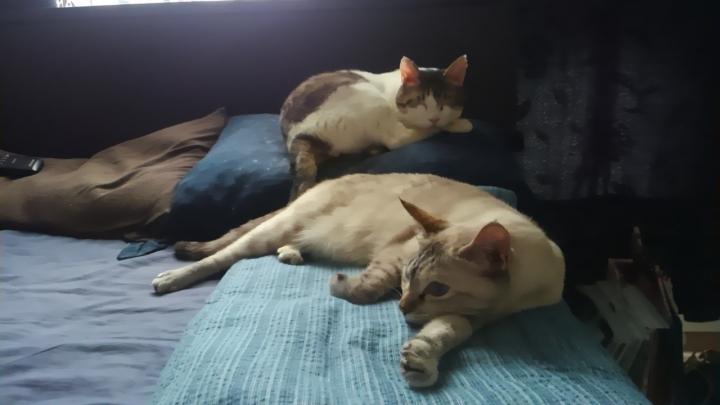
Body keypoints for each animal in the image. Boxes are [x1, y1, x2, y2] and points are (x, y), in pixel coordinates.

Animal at [152, 173, 565, 388]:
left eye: (437, 289)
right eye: (407, 278)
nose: (401, 308)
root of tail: (327, 180)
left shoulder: (473, 317)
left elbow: (445, 333)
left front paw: (421, 361)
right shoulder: (394, 255)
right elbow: (366, 288)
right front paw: (345, 287)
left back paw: (291, 254)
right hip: (272, 230)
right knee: (224, 254)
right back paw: (171, 277)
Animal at [280, 55, 474, 199]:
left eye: (446, 100)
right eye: (420, 101)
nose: (434, 118)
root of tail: (300, 136)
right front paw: (457, 122)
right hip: (368, 97)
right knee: (396, 139)